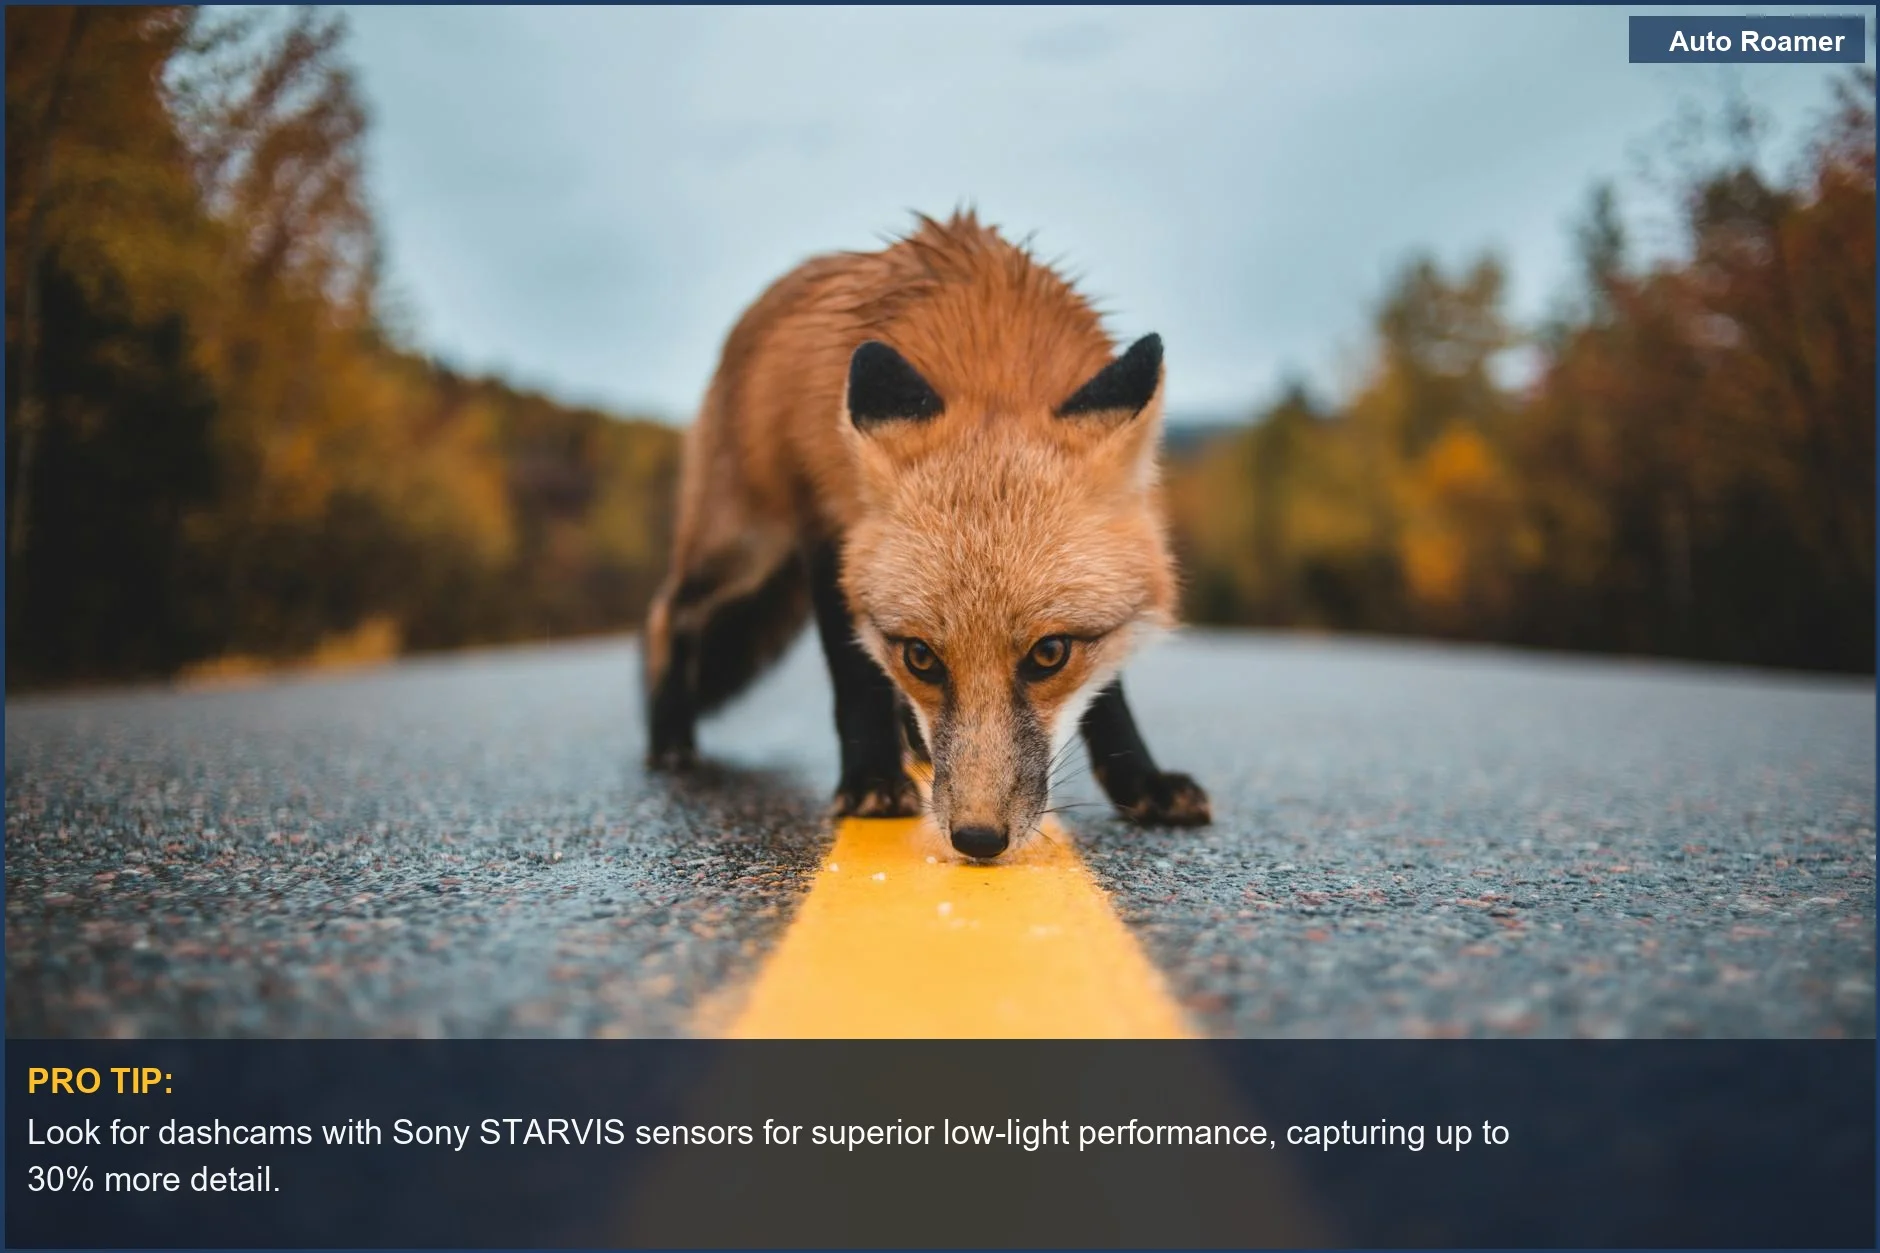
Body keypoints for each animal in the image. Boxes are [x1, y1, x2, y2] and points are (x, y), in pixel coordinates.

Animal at [642, 210, 1211, 860]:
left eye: (1050, 654)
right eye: (921, 657)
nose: (978, 839)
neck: (990, 352)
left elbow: (1108, 693)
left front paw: (1140, 780)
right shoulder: (829, 531)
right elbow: (855, 674)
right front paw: (870, 780)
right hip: (743, 547)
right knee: (667, 612)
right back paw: (669, 736)